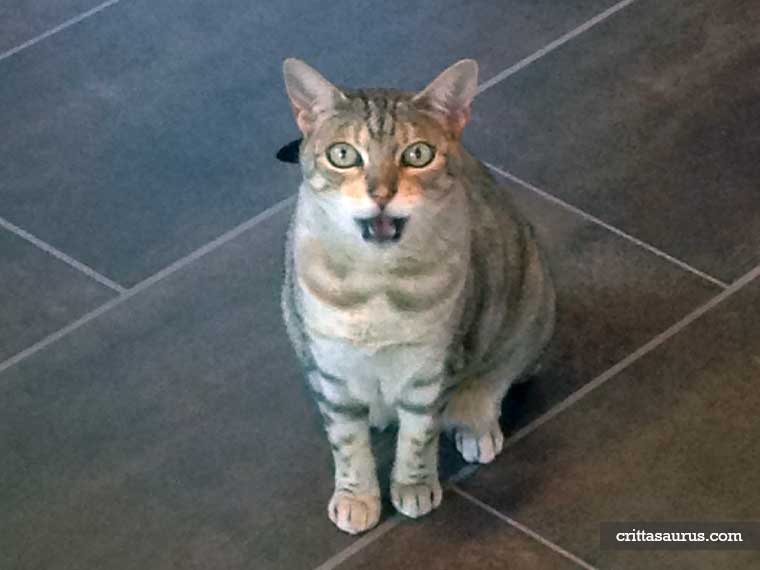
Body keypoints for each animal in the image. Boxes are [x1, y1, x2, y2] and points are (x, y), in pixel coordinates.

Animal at [282, 57, 556, 532]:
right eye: (343, 155)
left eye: (417, 154)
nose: (381, 193)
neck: (375, 284)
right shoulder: (330, 370)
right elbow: (347, 443)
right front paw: (356, 496)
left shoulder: (431, 369)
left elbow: (418, 436)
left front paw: (413, 485)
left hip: (531, 304)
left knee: (499, 375)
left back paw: (475, 420)